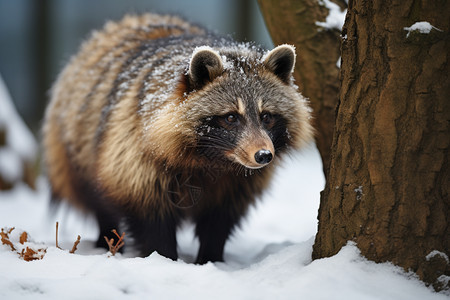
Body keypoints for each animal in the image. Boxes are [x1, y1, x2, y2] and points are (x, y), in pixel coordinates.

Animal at [42, 14, 312, 262]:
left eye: (266, 116)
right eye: (231, 117)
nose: (264, 155)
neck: (215, 160)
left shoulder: (236, 185)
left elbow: (218, 221)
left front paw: (210, 258)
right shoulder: (133, 150)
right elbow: (151, 215)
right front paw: (163, 258)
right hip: (76, 148)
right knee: (97, 198)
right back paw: (106, 236)